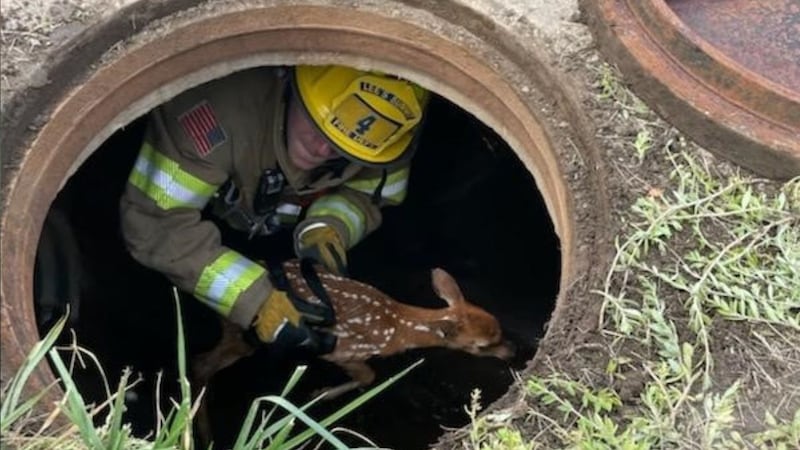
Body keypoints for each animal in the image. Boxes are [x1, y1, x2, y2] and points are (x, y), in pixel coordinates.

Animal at [190, 259, 514, 445]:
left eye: (499, 327)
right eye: (483, 346)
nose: (511, 353)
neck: (396, 328)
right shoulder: (346, 351)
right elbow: (368, 377)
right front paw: (321, 394)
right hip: (247, 335)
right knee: (200, 365)